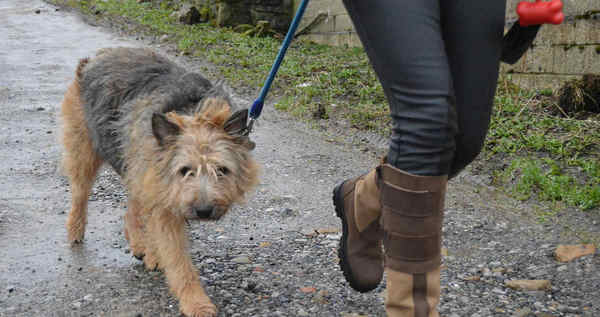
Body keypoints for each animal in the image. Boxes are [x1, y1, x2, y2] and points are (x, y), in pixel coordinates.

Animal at [60, 45, 260, 314]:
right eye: (185, 170)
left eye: (221, 170)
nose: (204, 211)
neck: (194, 113)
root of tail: (96, 57)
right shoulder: (164, 200)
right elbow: (177, 258)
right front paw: (196, 302)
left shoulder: (159, 184)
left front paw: (155, 254)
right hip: (85, 150)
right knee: (80, 194)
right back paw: (76, 230)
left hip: (139, 165)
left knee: (134, 207)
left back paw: (140, 244)